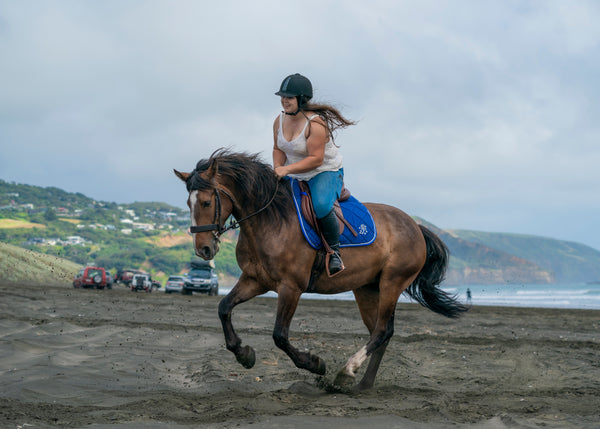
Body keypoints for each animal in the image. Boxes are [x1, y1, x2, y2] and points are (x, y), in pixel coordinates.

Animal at [173, 149, 468, 390]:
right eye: (188, 204)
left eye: (207, 203)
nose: (203, 249)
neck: (269, 220)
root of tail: (415, 225)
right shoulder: (255, 280)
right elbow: (224, 308)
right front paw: (244, 354)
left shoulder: (291, 287)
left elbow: (280, 335)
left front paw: (314, 363)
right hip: (367, 289)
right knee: (380, 333)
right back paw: (363, 384)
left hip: (391, 283)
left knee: (383, 330)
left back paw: (346, 372)